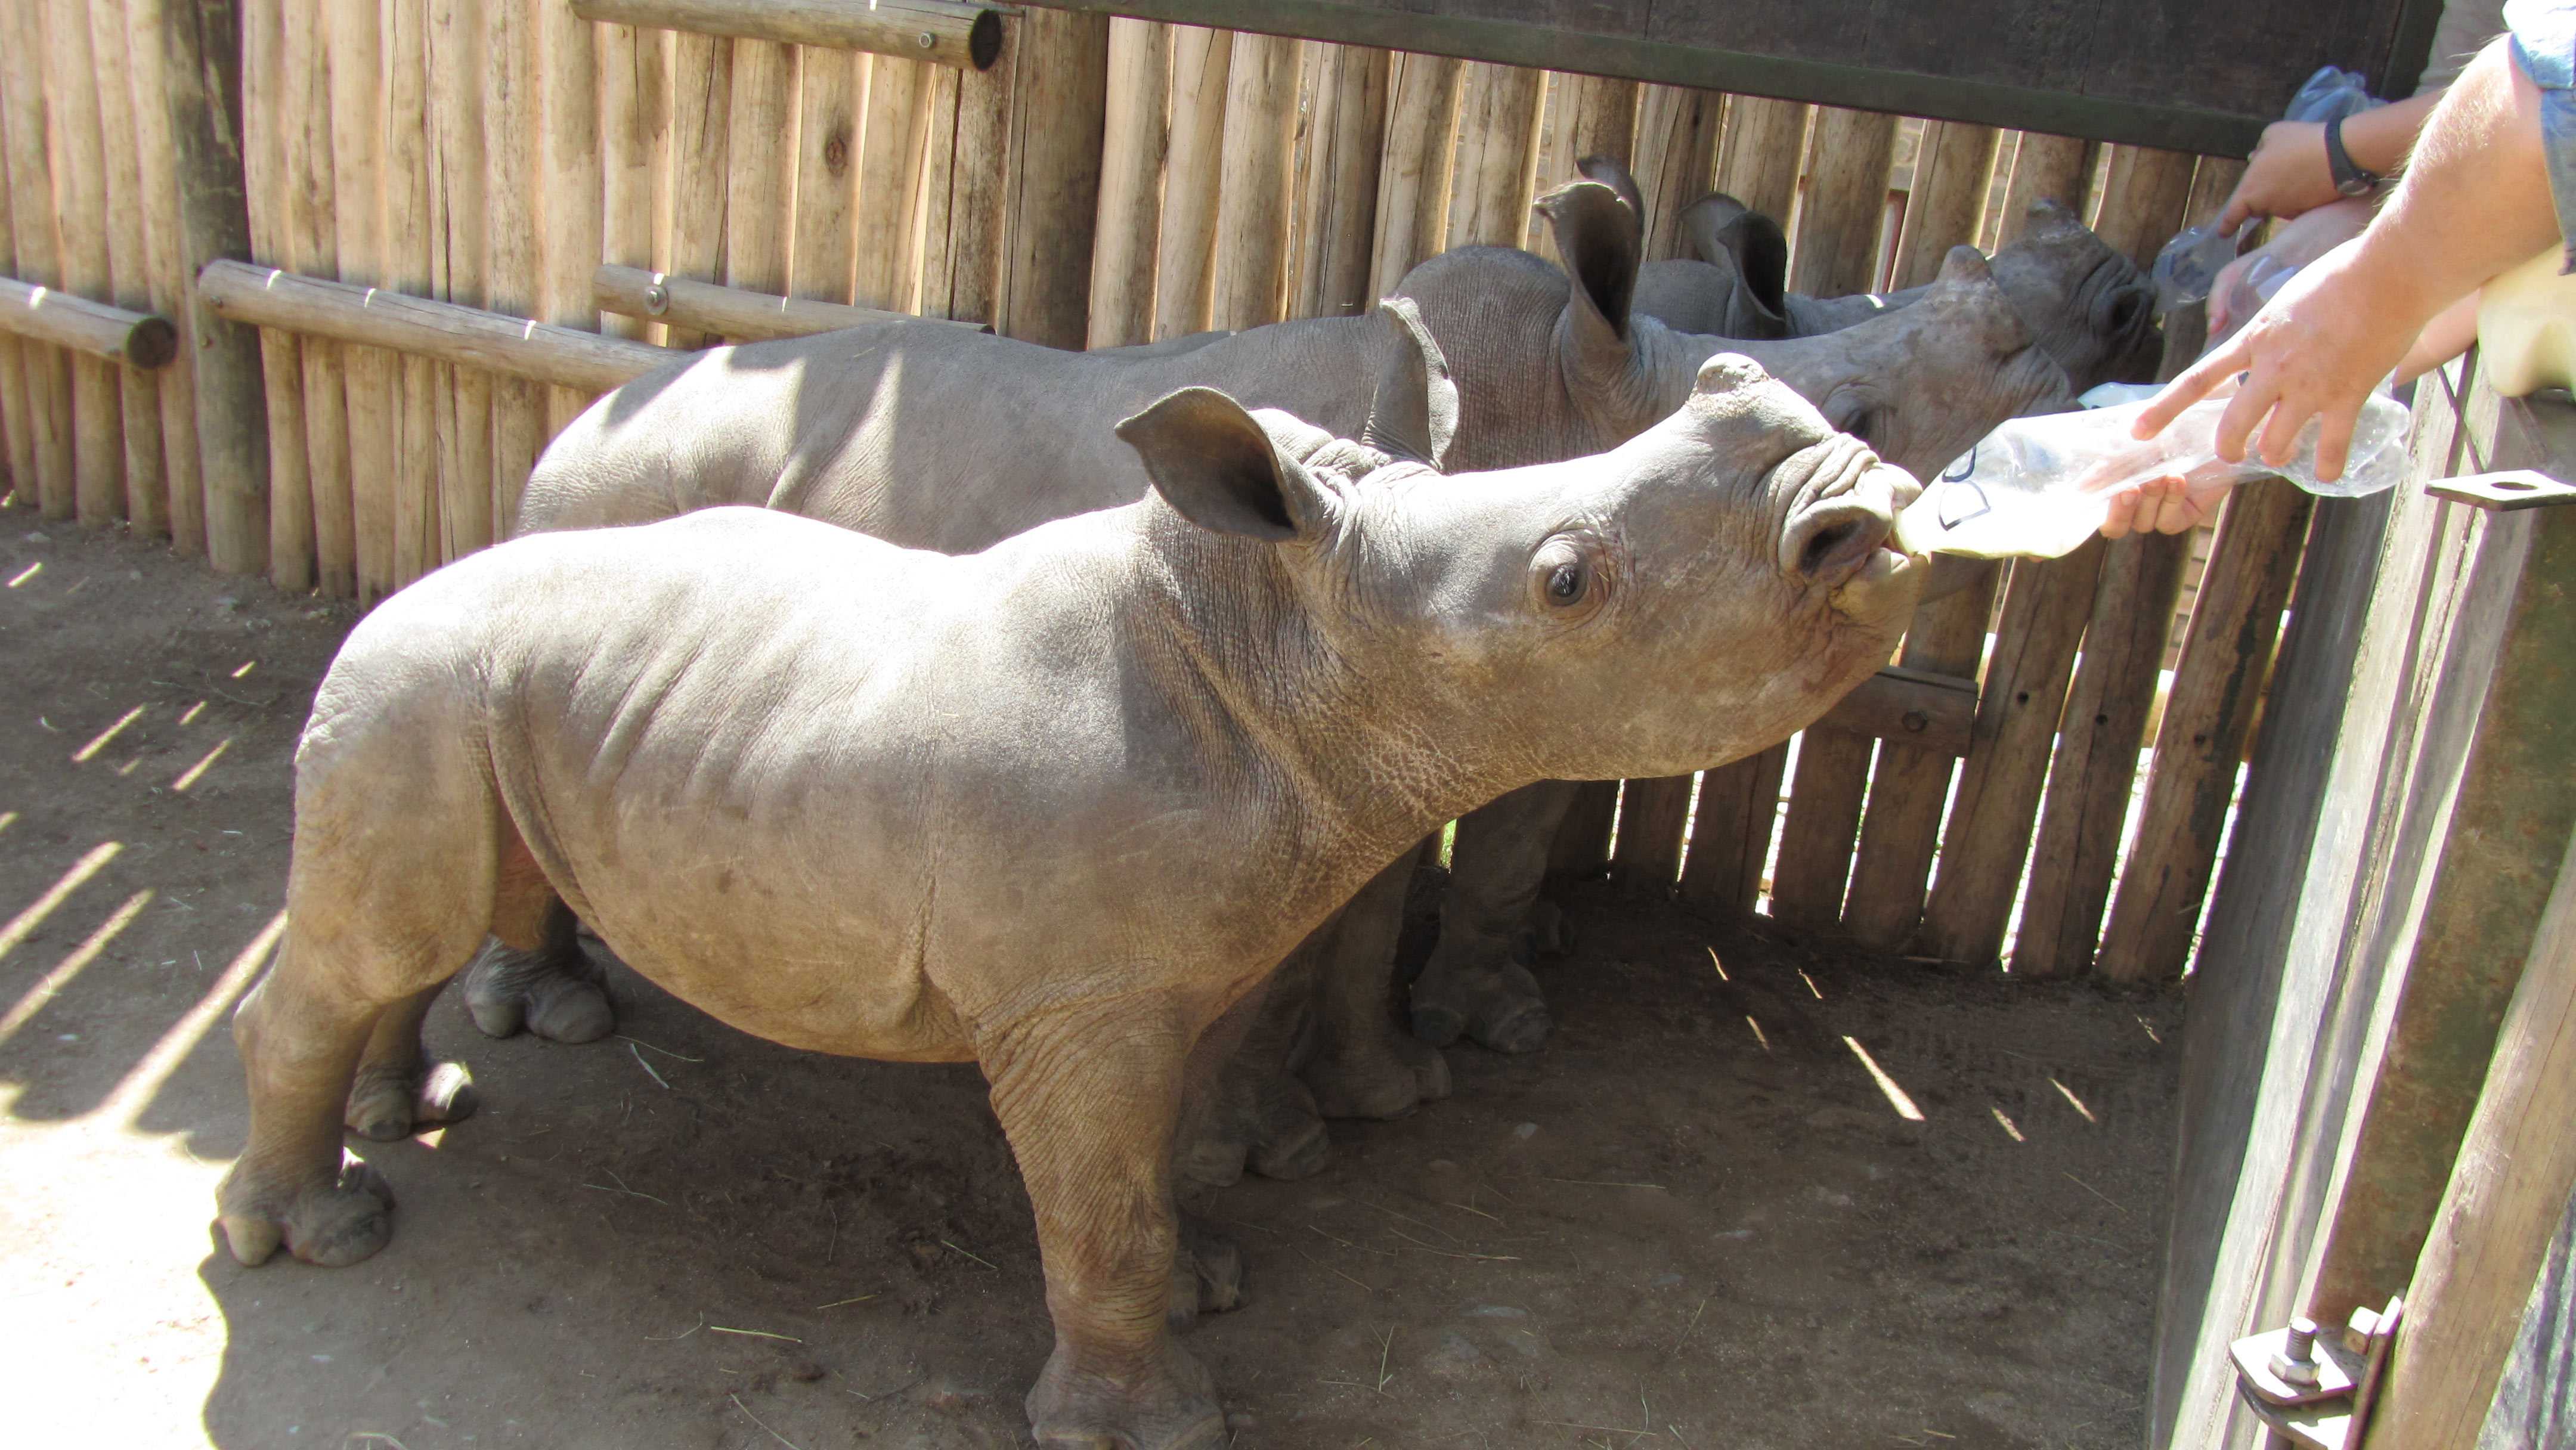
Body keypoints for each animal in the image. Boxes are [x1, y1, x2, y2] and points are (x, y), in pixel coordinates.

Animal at [216, 351, 1926, 1450]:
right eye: (1566, 582)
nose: (1861, 503)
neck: (1287, 642)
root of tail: (404, 582)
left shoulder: (1195, 959)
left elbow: (1156, 1169)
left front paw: (1210, 1283)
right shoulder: (1079, 1000)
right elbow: (1100, 1202)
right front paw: (1148, 1420)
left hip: (472, 694)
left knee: (408, 928)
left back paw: (408, 1110)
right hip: (413, 682)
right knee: (379, 930)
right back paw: (321, 1232)